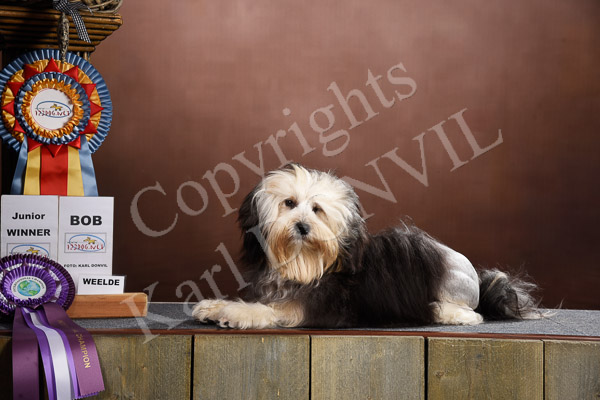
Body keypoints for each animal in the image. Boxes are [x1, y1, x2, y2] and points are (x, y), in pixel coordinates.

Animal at [193, 163, 540, 329]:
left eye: (317, 209)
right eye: (289, 203)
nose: (302, 226)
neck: (305, 265)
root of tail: (480, 283)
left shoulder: (309, 308)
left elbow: (266, 311)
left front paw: (233, 312)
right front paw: (212, 306)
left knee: (469, 315)